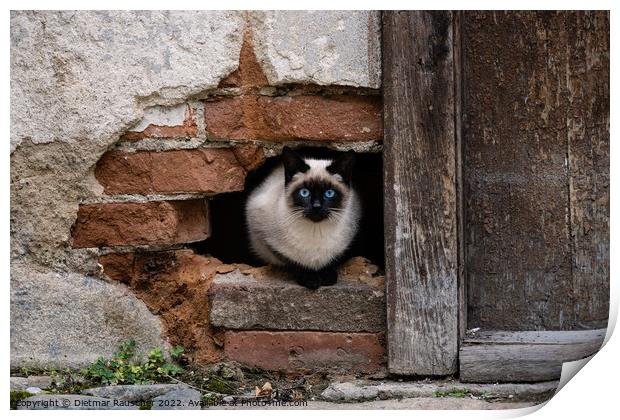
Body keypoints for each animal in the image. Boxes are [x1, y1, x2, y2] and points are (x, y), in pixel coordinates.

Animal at [245, 147, 360, 288]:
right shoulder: (265, 238)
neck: (316, 232)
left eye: (329, 193)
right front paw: (311, 279)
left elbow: (331, 260)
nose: (316, 206)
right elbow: (295, 263)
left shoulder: (345, 243)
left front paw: (327, 276)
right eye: (304, 193)